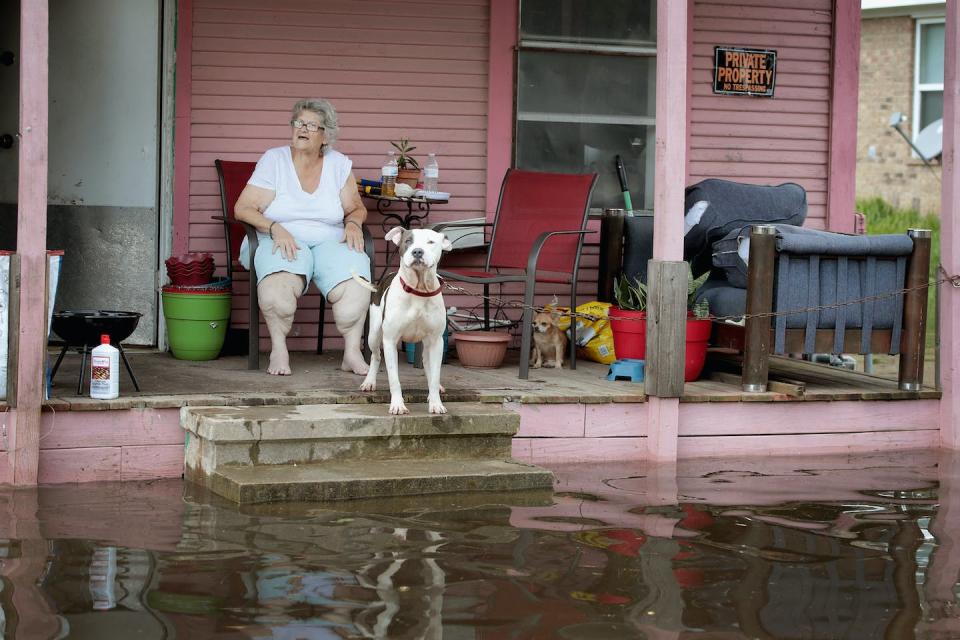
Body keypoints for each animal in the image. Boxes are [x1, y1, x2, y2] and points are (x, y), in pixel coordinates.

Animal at [358, 229, 452, 416]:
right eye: (408, 241)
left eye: (431, 242)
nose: (417, 251)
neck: (418, 289)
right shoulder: (390, 340)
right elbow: (394, 378)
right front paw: (397, 405)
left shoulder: (437, 341)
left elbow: (435, 374)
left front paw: (436, 403)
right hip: (374, 335)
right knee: (375, 356)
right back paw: (369, 382)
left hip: (428, 345)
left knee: (428, 365)